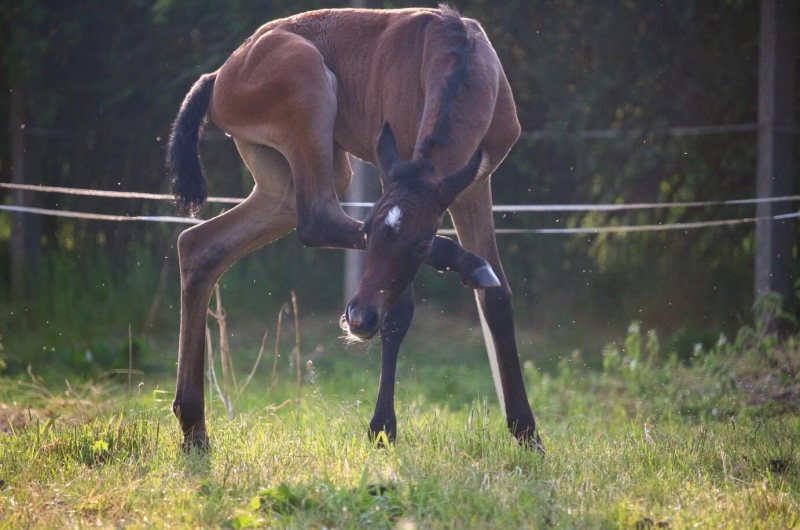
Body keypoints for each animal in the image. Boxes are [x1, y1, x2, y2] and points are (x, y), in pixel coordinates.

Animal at [169, 5, 544, 450]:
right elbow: (400, 310)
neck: (459, 55)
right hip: (308, 87)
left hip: (288, 179)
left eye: (420, 247)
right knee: (315, 218)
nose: (360, 318)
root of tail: (221, 75)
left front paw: (528, 434)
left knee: (200, 244)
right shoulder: (393, 174)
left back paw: (194, 429)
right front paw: (383, 428)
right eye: (367, 233)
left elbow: (498, 299)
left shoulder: (473, 186)